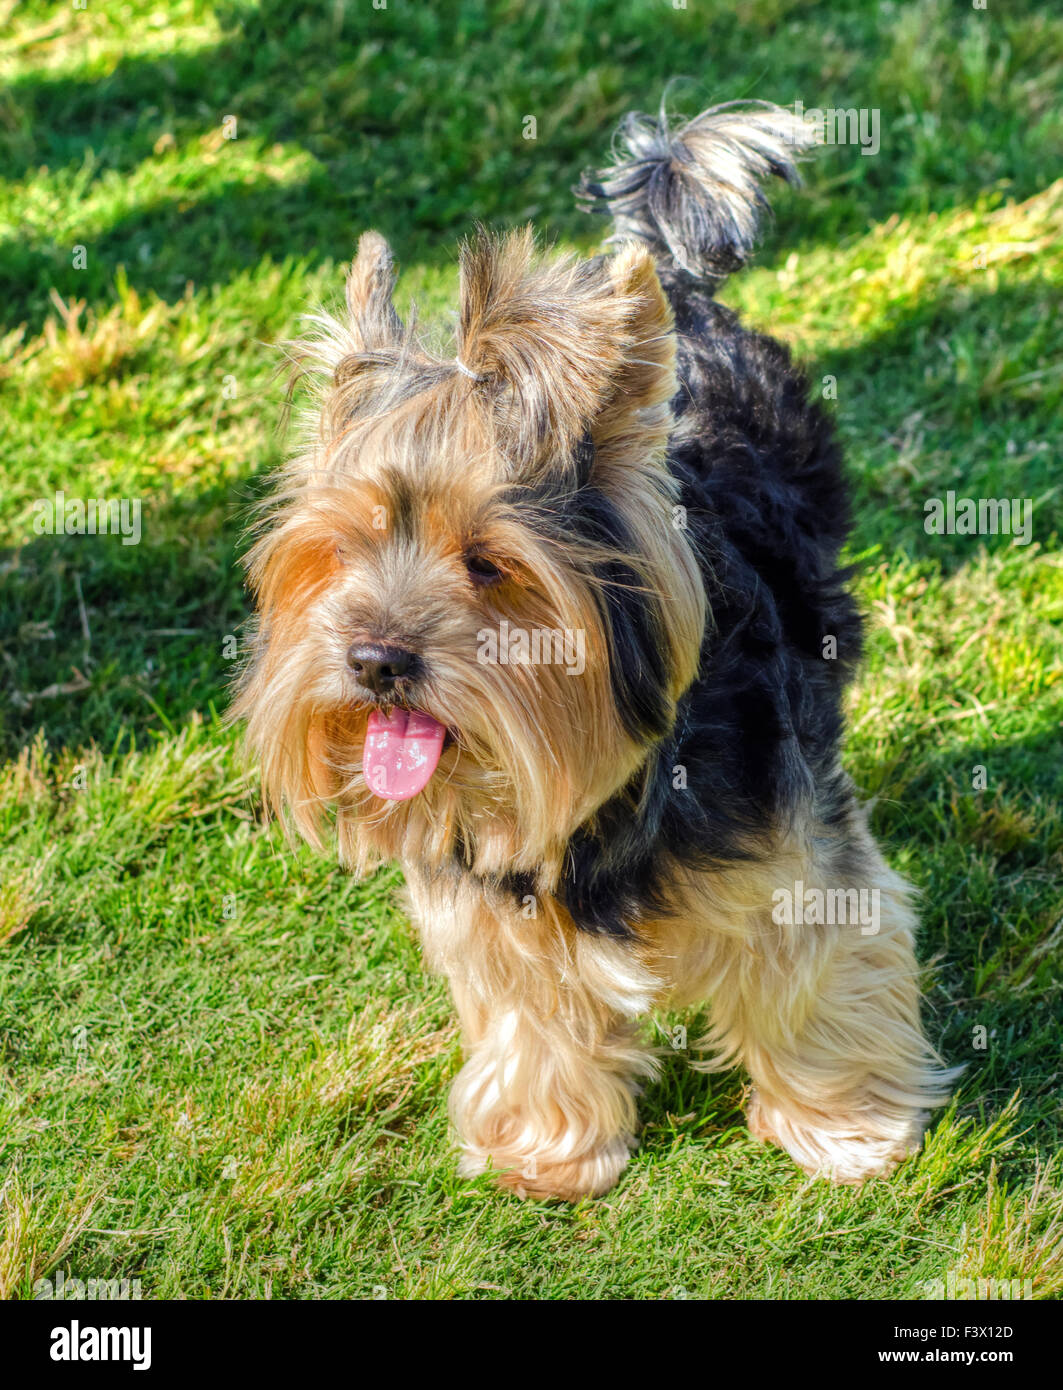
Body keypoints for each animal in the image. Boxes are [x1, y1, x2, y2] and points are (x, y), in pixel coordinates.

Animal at [234, 97, 956, 1200]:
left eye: (488, 563)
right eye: (341, 548)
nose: (374, 660)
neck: (599, 786)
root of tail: (678, 294)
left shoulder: (791, 854)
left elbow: (814, 975)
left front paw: (848, 1132)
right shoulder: (493, 902)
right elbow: (530, 1011)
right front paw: (548, 1149)